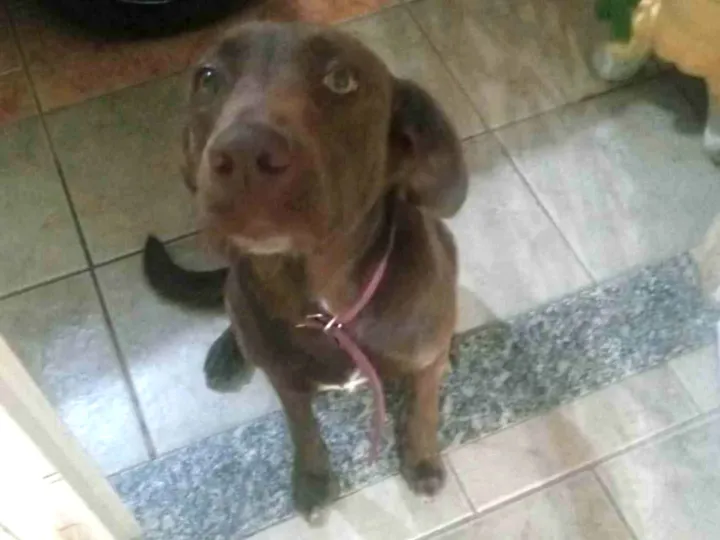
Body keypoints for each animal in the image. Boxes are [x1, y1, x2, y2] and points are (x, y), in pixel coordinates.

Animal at [144, 21, 468, 522]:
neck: (325, 306)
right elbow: (303, 430)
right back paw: (229, 350)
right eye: (209, 78)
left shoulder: (421, 361)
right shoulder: (286, 382)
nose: (244, 153)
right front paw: (313, 480)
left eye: (342, 80)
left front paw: (422, 461)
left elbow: (424, 409)